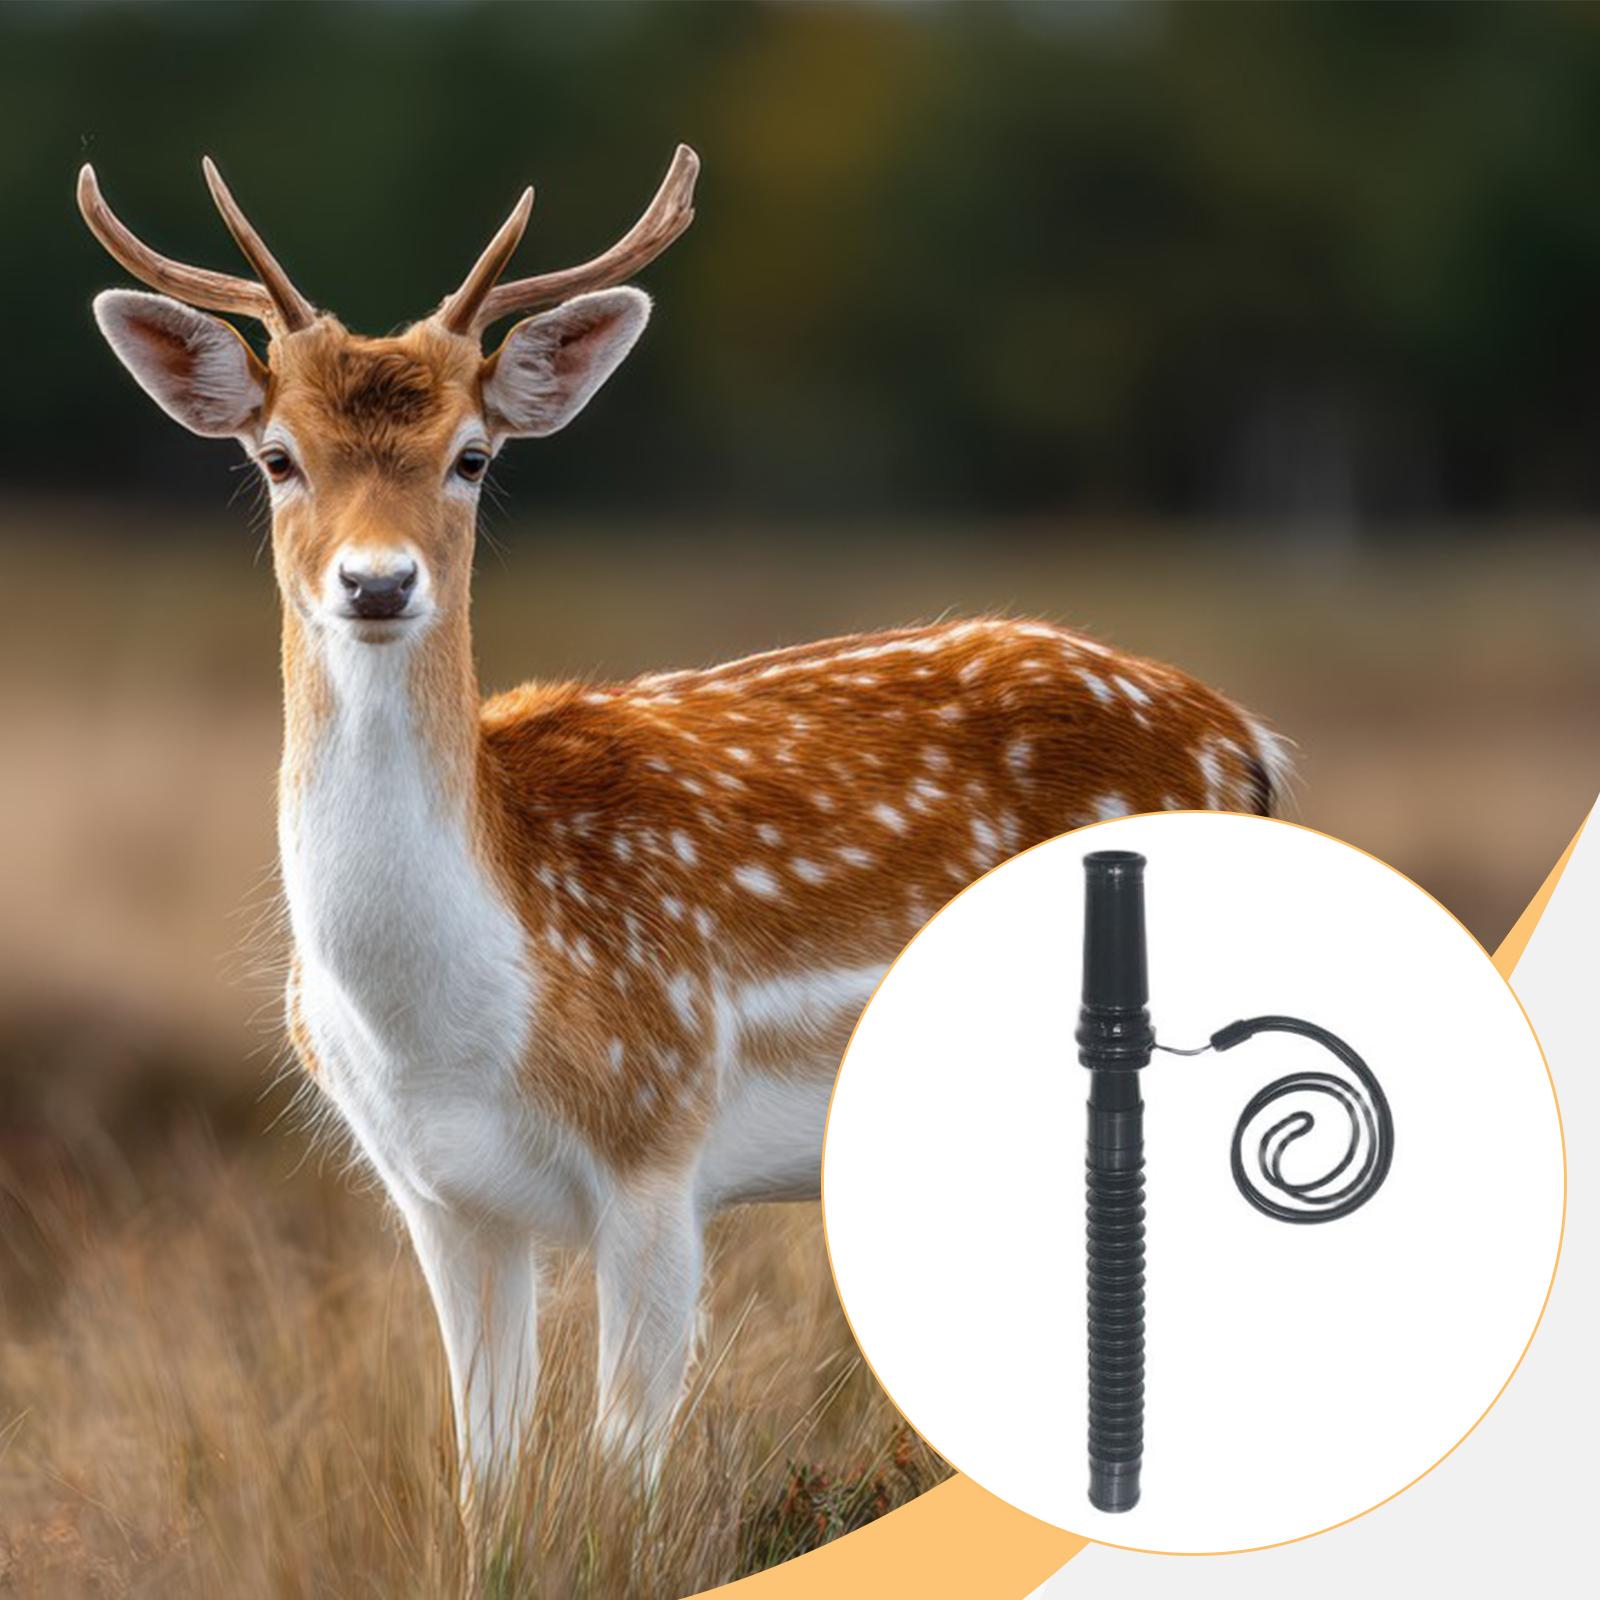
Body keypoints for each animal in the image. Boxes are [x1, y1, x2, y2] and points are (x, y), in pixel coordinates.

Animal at [78, 146, 1289, 1504]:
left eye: (472, 456)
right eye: (278, 456)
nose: (378, 583)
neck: (458, 1020)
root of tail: (1246, 739)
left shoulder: (658, 1137)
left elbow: (621, 1474)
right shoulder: (438, 1196)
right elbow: (484, 1481)